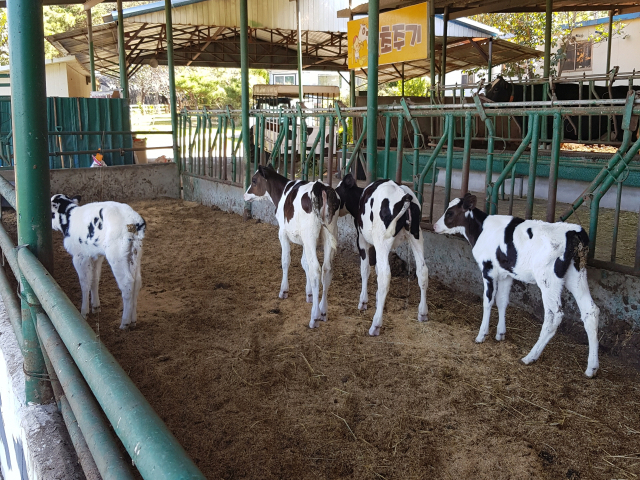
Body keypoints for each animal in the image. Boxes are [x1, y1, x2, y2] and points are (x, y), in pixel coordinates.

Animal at [51, 195, 146, 330]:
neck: (70, 218)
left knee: (127, 283)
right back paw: (133, 320)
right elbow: (94, 279)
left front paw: (84, 312)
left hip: (117, 257)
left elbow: (84, 283)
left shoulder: (80, 257)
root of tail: (132, 219)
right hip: (135, 255)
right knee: (137, 282)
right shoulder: (96, 256)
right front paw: (96, 306)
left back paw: (125, 322)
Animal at [242, 163, 340, 328]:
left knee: (316, 270)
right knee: (327, 269)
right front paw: (309, 294)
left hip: (310, 235)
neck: (282, 192)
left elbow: (286, 261)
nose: (244, 196)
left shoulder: (283, 233)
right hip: (328, 234)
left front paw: (284, 291)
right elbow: (304, 263)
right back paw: (323, 311)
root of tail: (320, 187)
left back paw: (314, 317)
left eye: (254, 180)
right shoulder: (304, 240)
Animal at [336, 174, 430, 336]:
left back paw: (376, 324)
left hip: (383, 239)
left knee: (386, 276)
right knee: (422, 270)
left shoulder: (362, 240)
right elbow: (376, 270)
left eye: (336, 191)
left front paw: (363, 301)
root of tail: (403, 195)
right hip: (416, 235)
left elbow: (366, 269)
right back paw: (422, 313)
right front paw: (378, 300)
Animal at [436, 193, 600, 376]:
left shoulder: (488, 269)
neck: (482, 230)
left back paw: (530, 356)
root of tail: (573, 232)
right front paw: (500, 333)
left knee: (554, 315)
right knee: (590, 311)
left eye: (450, 212)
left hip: (548, 280)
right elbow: (502, 301)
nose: (435, 226)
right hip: (576, 275)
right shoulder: (506, 274)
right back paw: (591, 368)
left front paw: (481, 335)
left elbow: (488, 301)